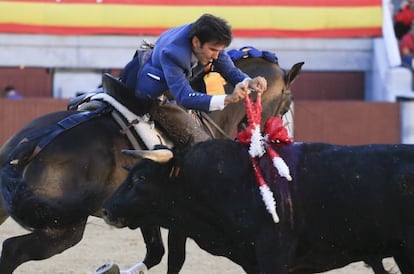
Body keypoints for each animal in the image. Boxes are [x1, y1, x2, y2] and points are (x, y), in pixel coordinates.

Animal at [0, 58, 304, 274]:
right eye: (287, 103)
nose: (284, 137)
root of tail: (29, 147)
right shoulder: (180, 218)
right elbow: (174, 259)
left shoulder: (145, 211)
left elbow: (156, 253)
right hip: (64, 229)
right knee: (12, 251)